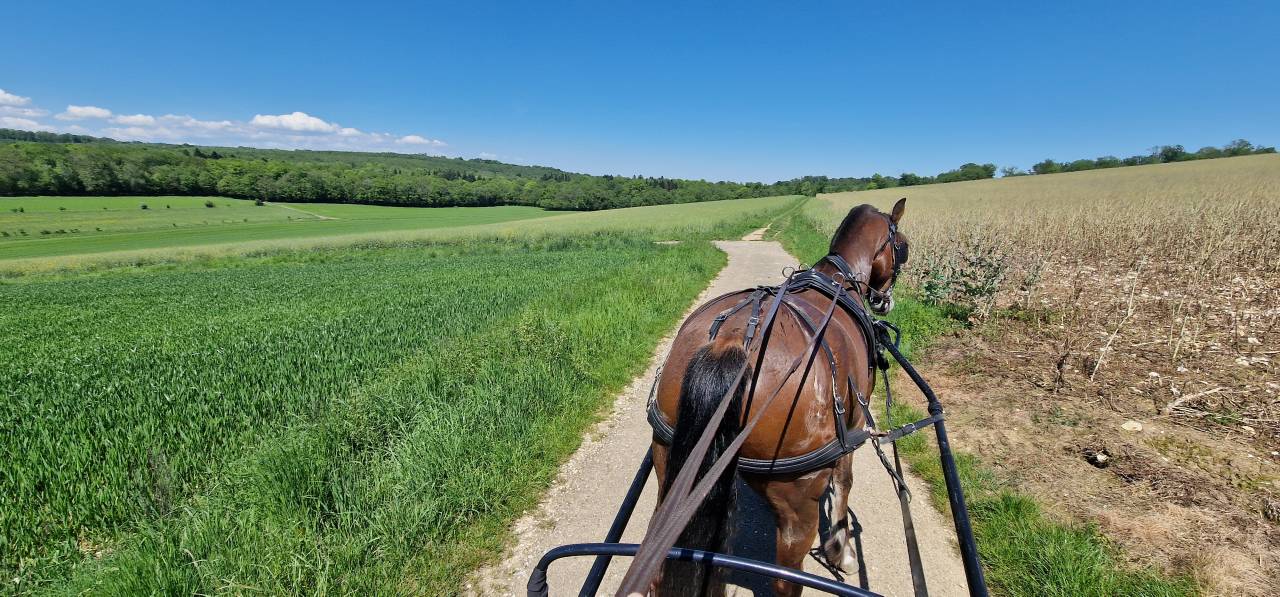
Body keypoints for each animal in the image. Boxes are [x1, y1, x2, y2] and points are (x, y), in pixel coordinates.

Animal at [646, 198, 909, 597]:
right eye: (903, 247)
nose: (885, 302)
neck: (839, 280)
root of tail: (733, 340)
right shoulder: (854, 423)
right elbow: (845, 481)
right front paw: (842, 550)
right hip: (797, 499)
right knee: (786, 579)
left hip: (669, 465)